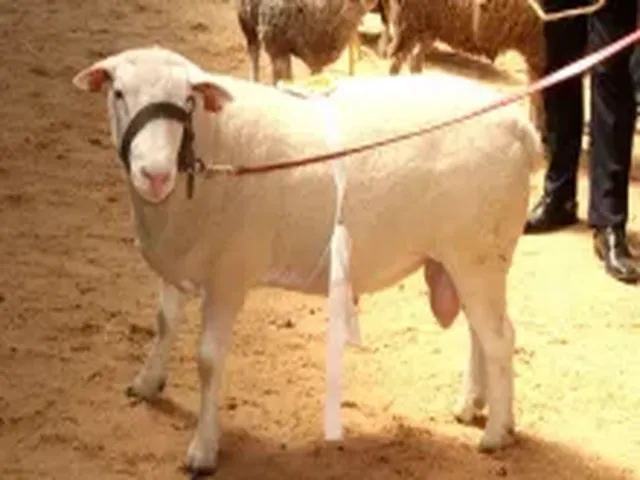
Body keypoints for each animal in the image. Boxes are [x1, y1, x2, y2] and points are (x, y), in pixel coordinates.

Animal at [72, 45, 541, 475]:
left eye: (187, 100)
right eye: (118, 92)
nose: (155, 174)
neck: (212, 146)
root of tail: (519, 125)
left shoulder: (228, 274)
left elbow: (208, 359)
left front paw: (204, 449)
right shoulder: (179, 262)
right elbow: (164, 324)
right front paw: (147, 384)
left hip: (476, 254)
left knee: (500, 338)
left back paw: (496, 432)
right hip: (468, 257)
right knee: (482, 332)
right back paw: (471, 406)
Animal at [235, 0, 377, 83]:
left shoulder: (317, 56)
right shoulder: (276, 47)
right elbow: (279, 79)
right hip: (246, 20)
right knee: (254, 51)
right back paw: (253, 81)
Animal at [385, 0, 545, 132]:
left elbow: (535, 99)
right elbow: (537, 101)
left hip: (427, 30)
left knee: (413, 60)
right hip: (411, 26)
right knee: (398, 62)